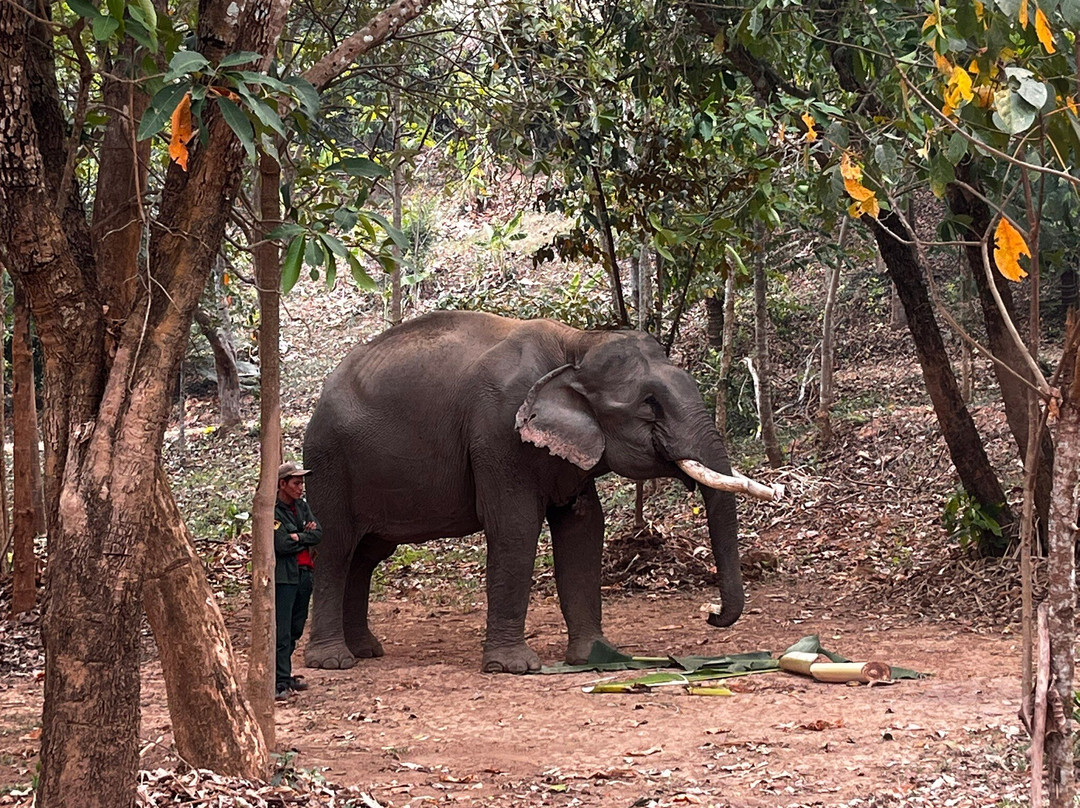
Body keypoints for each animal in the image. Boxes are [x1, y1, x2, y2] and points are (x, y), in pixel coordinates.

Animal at [302, 309, 753, 674]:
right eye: (649, 403)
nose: (711, 614)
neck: (576, 344)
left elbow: (584, 527)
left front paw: (596, 657)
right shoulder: (499, 434)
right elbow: (514, 526)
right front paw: (513, 668)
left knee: (366, 555)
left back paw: (366, 651)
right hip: (327, 462)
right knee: (336, 546)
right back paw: (333, 661)